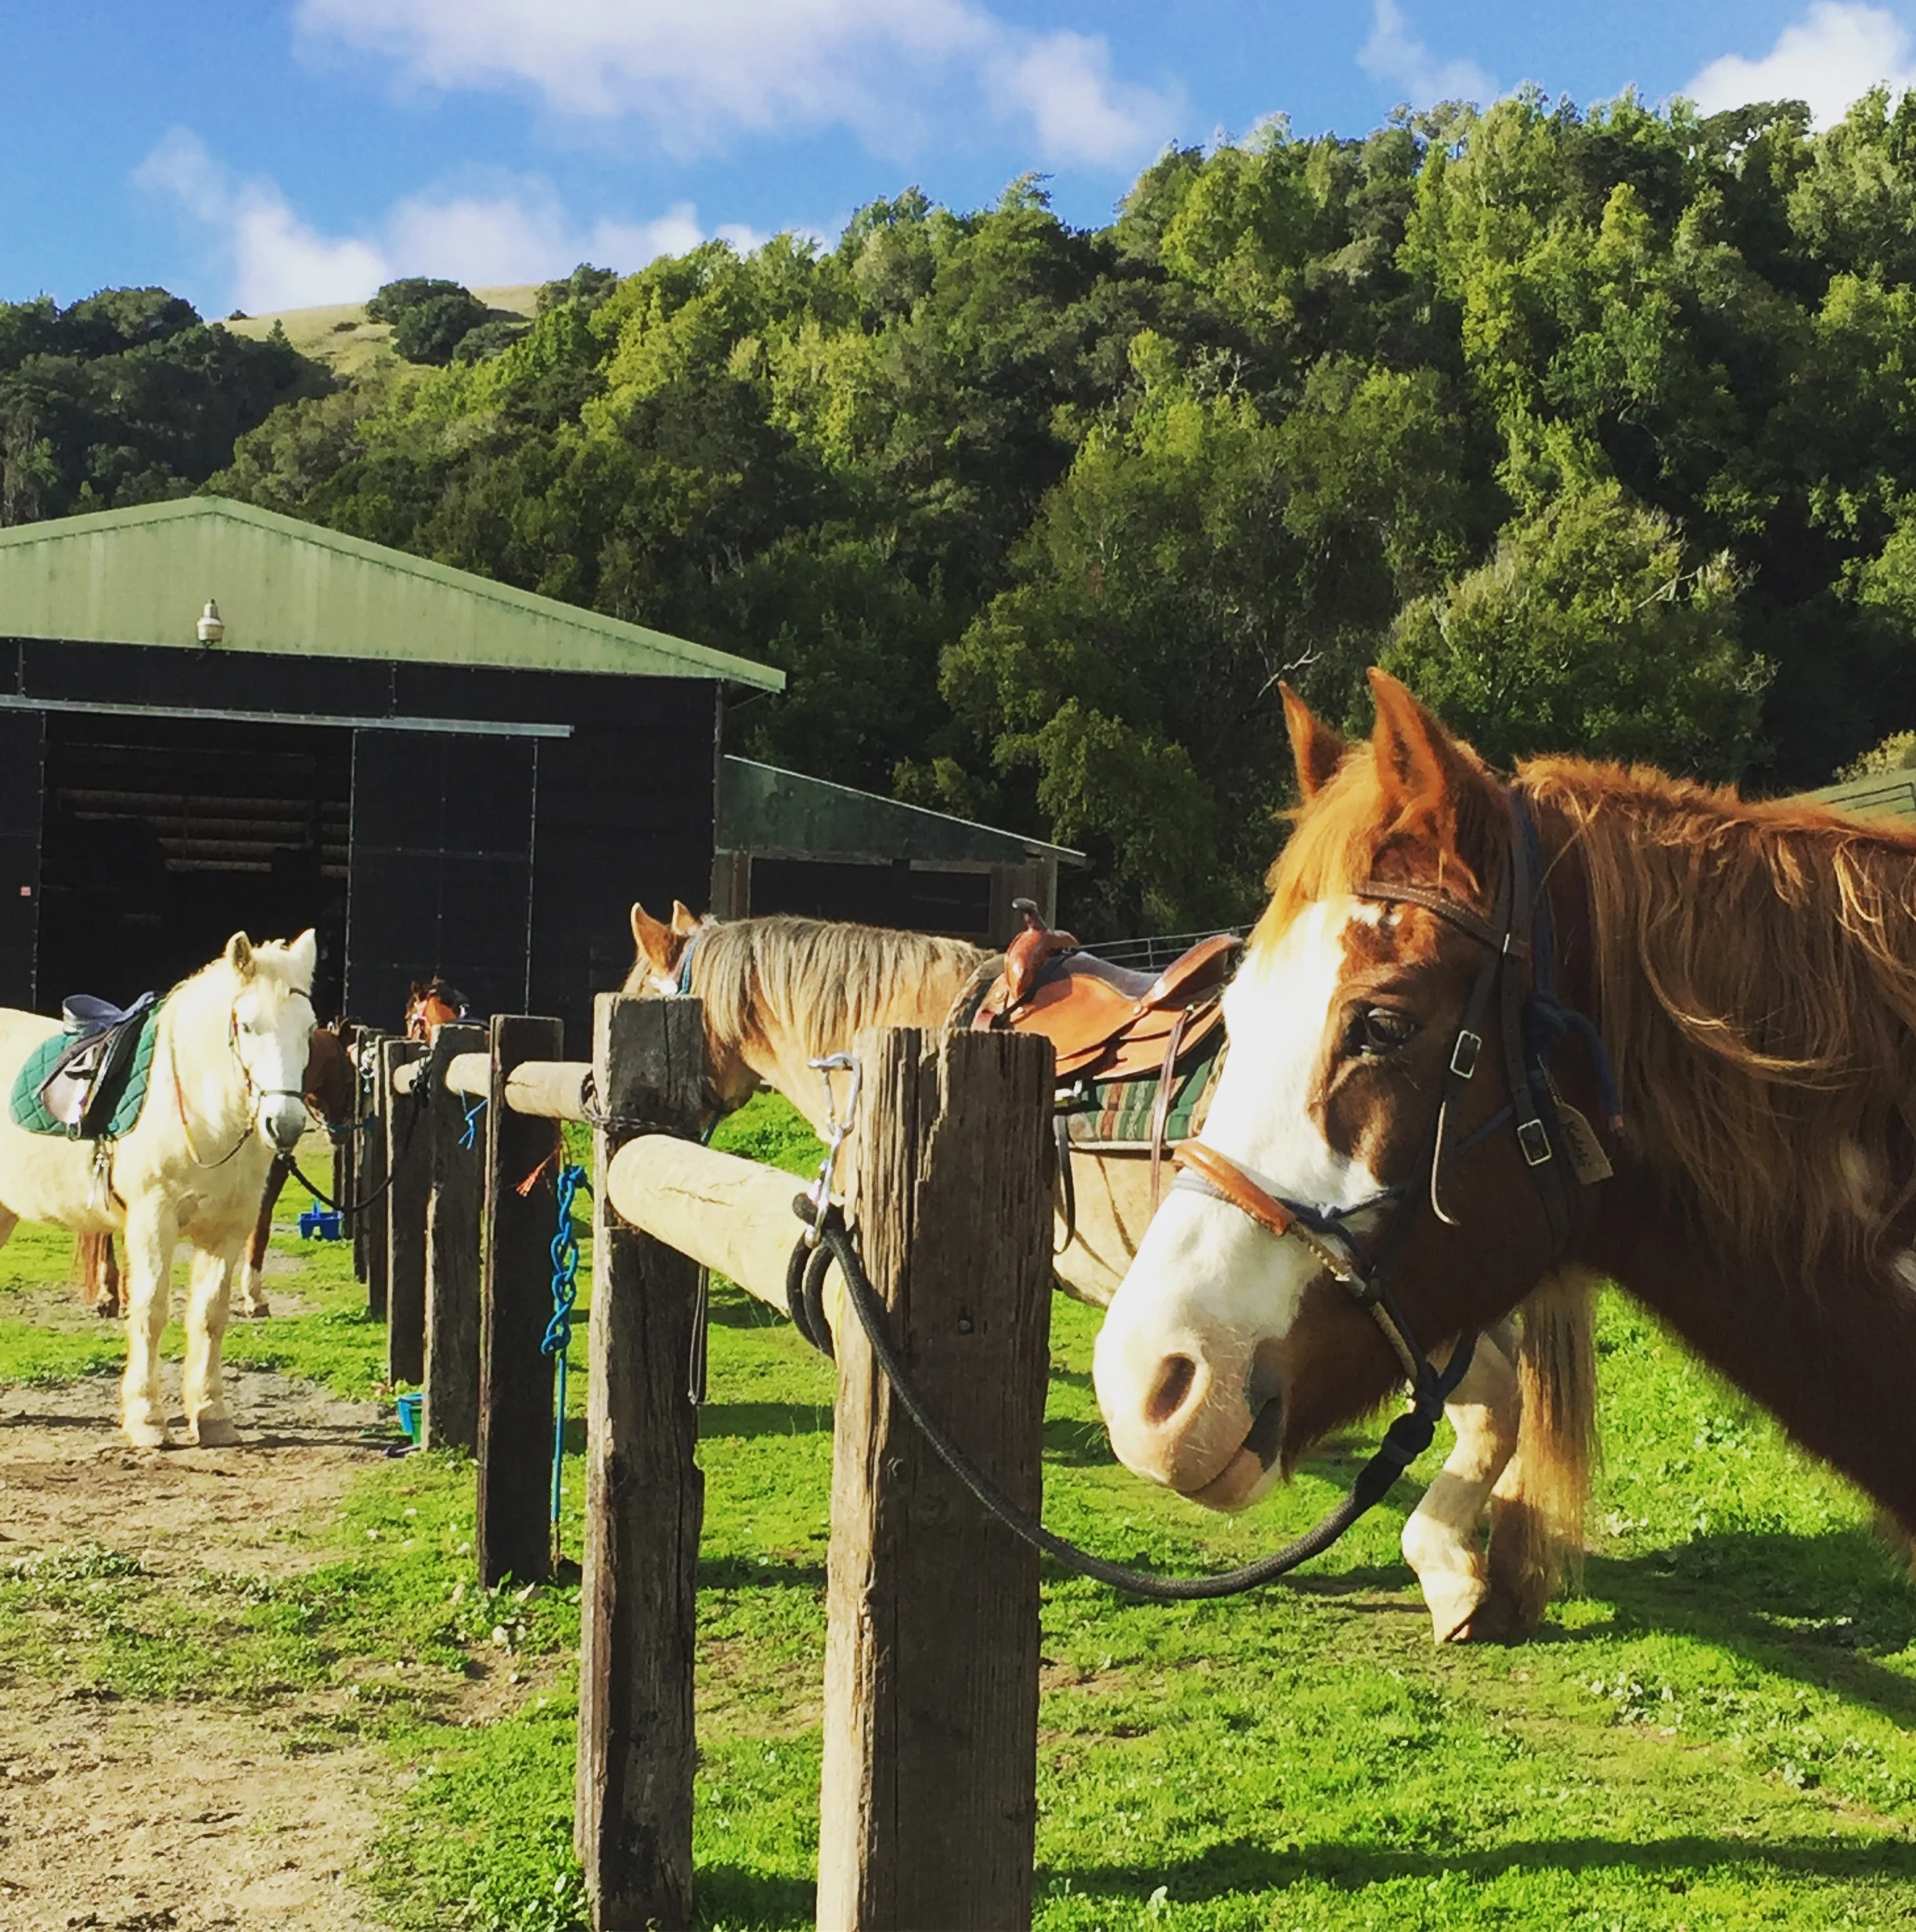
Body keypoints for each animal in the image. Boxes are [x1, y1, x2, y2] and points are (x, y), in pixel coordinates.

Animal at [0, 931, 317, 1446]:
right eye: (248, 1026)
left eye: (309, 1030)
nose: (284, 1125)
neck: (204, 1111)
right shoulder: (153, 1222)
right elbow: (150, 1311)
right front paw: (147, 1418)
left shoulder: (227, 1231)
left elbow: (210, 1315)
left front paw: (211, 1415)